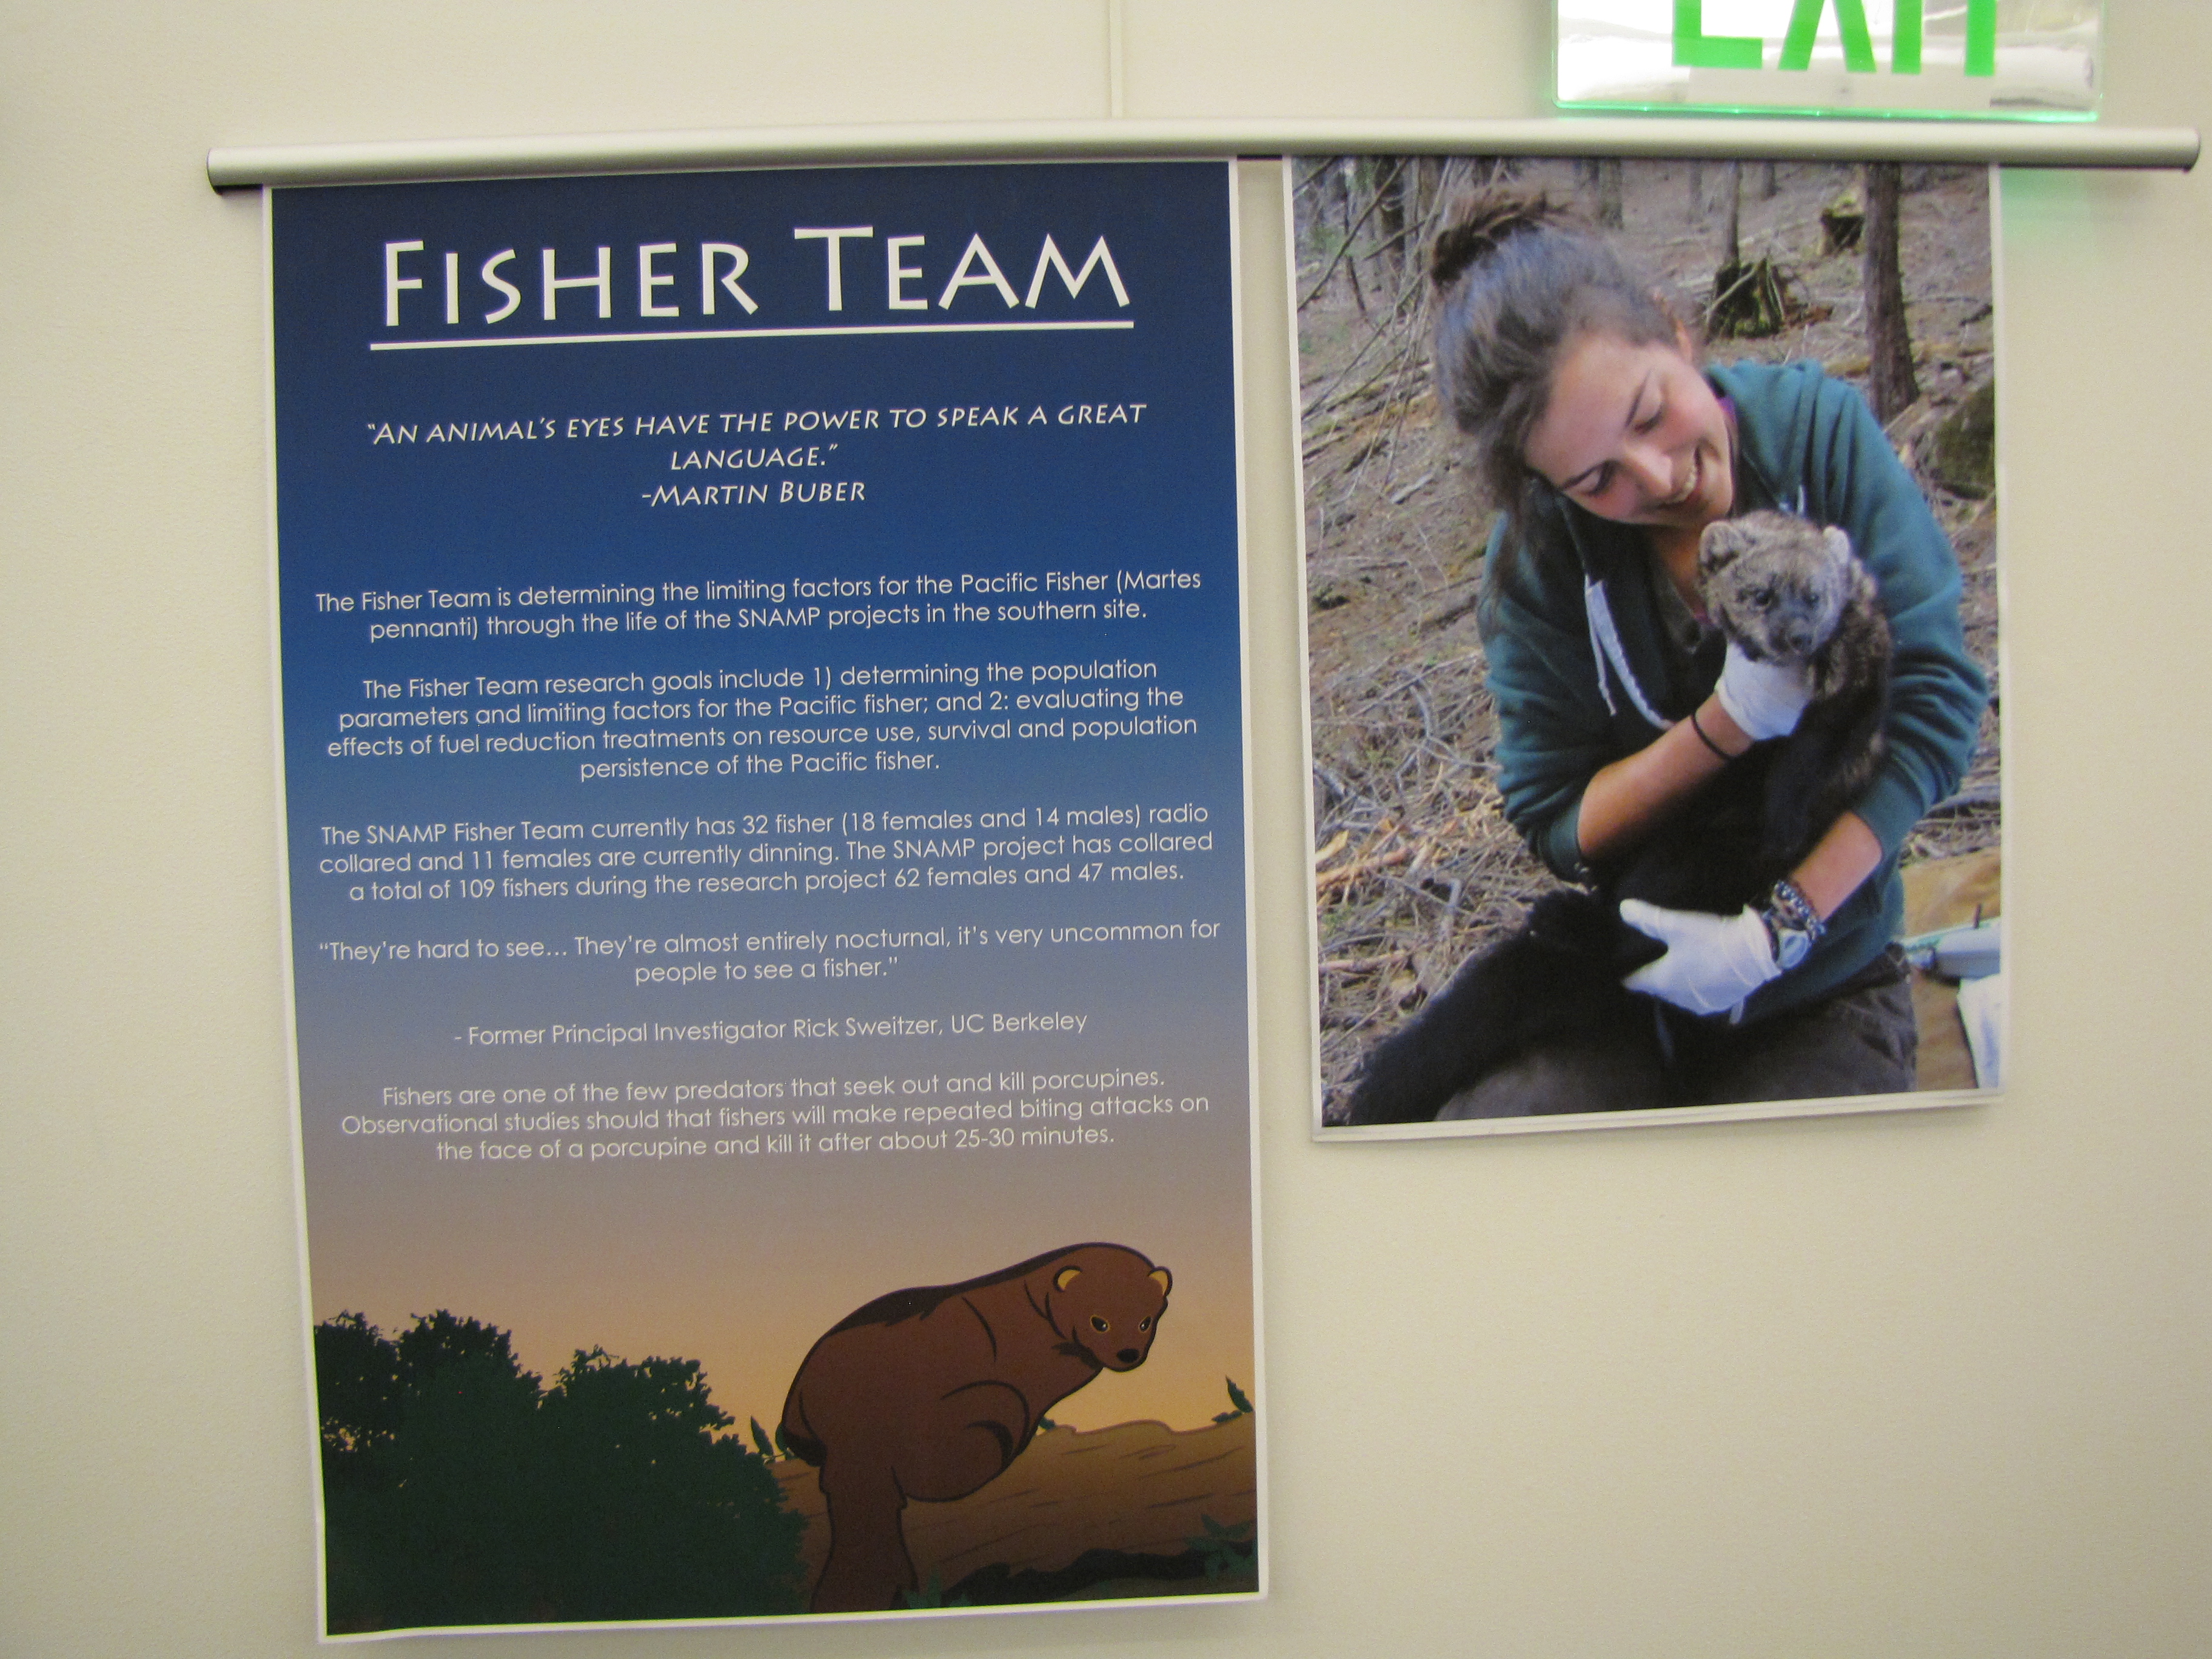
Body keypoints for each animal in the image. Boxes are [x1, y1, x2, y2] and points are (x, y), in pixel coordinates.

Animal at [1333, 510, 1892, 1125]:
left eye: (1815, 596)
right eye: (1760, 595)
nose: (1796, 637)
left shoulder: (1856, 690)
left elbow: (1812, 757)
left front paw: (1786, 817)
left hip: (1702, 863)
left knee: (1636, 932)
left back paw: (1564, 917)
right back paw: (1562, 914)